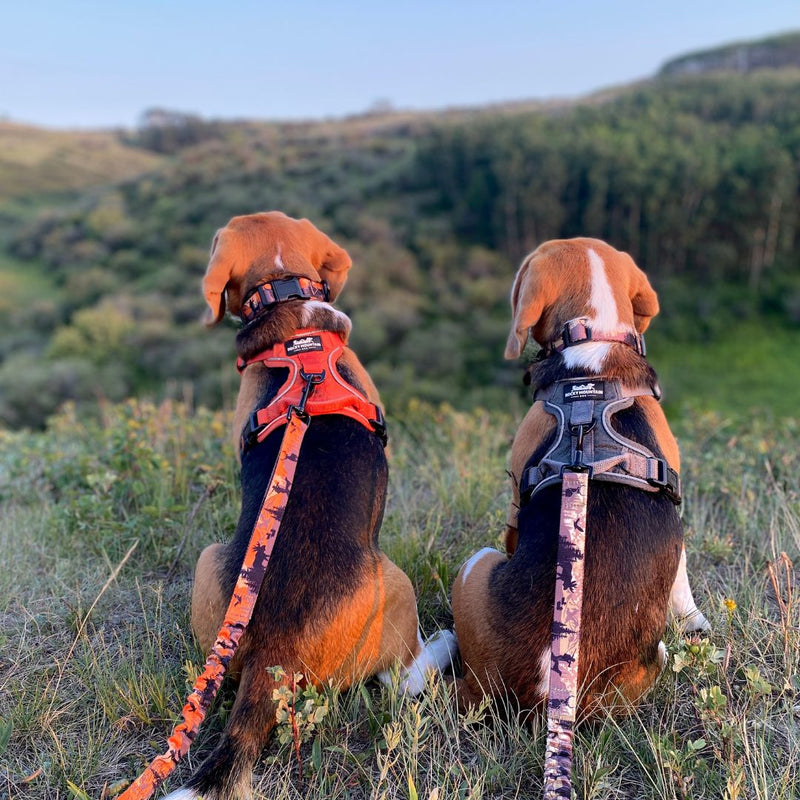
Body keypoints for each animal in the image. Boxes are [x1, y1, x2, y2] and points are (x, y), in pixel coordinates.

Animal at [167, 211, 456, 800]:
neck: (286, 302)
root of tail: (274, 656)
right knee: (401, 679)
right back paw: (442, 645)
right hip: (396, 586)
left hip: (211, 565)